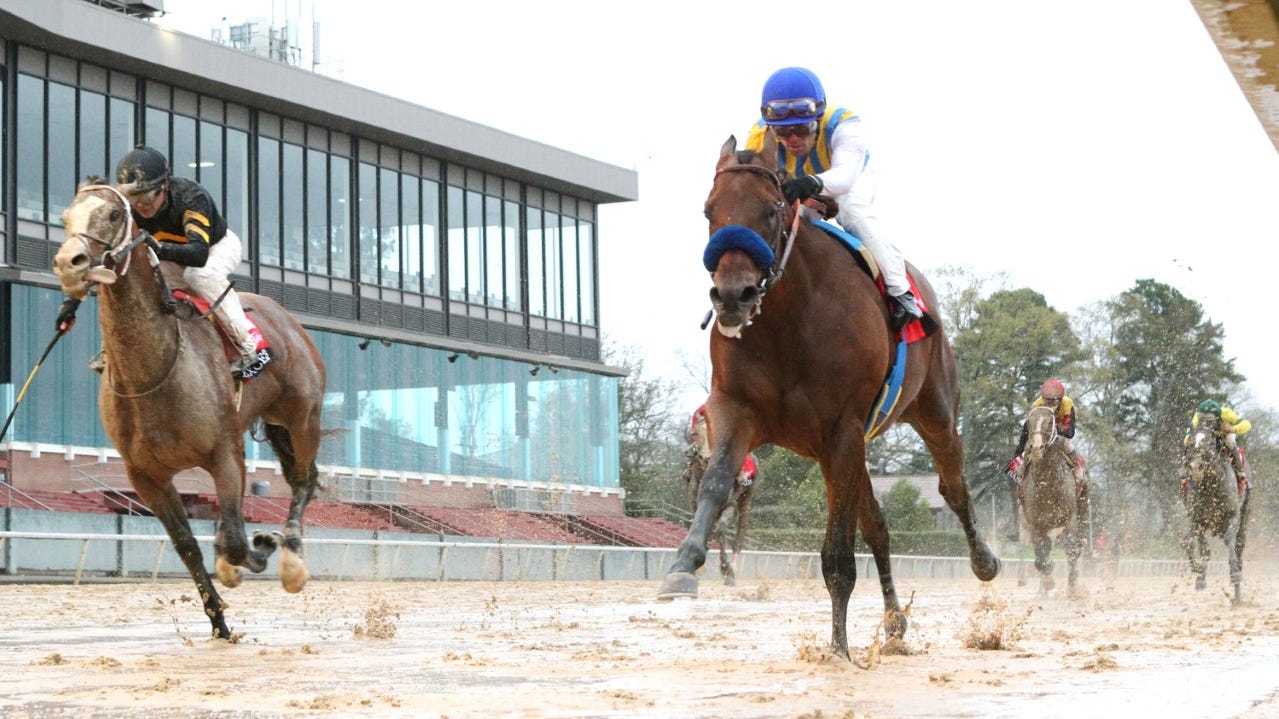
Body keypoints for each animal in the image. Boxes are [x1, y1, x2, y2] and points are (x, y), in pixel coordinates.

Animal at [52, 180, 327, 637]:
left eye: (113, 214)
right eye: (65, 217)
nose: (68, 263)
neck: (155, 370)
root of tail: (287, 319)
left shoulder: (225, 455)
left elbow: (236, 539)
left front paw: (261, 547)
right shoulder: (145, 476)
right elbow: (187, 545)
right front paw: (220, 624)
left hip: (302, 417)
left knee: (304, 481)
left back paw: (291, 562)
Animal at [685, 404, 752, 583]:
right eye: (696, 433)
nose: (706, 457)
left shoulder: (730, 504)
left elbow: (722, 529)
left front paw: (725, 569)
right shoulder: (696, 502)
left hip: (747, 501)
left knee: (740, 530)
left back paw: (732, 569)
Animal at [1012, 404, 1084, 593]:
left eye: (1050, 422)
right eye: (1029, 422)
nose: (1036, 447)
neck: (1049, 486)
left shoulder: (1069, 519)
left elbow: (1071, 551)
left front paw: (1073, 587)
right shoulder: (1036, 523)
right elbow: (1040, 559)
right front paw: (1048, 581)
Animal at [1176, 422, 1248, 601]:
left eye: (1208, 443)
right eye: (1190, 443)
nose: (1195, 466)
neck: (1211, 486)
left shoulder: (1232, 515)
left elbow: (1230, 541)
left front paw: (1235, 574)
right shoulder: (1198, 519)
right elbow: (1197, 546)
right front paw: (1200, 576)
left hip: (1245, 512)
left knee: (1239, 544)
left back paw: (1238, 593)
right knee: (1188, 540)